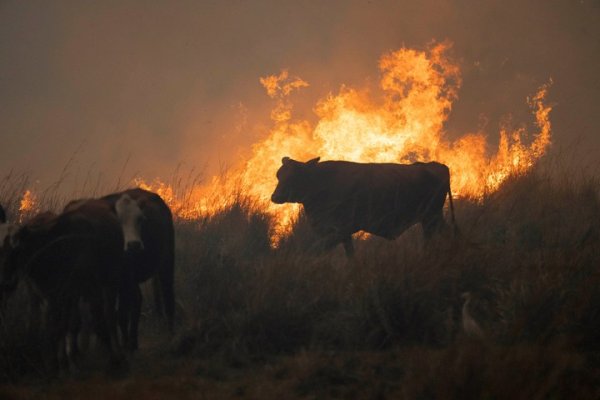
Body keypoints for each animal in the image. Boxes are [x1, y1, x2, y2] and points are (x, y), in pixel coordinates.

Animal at [270, 156, 454, 256]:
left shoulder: (342, 229)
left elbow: (317, 250)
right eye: (278, 175)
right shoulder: (339, 233)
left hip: (431, 217)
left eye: (294, 176)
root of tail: (434, 165)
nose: (275, 196)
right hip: (432, 217)